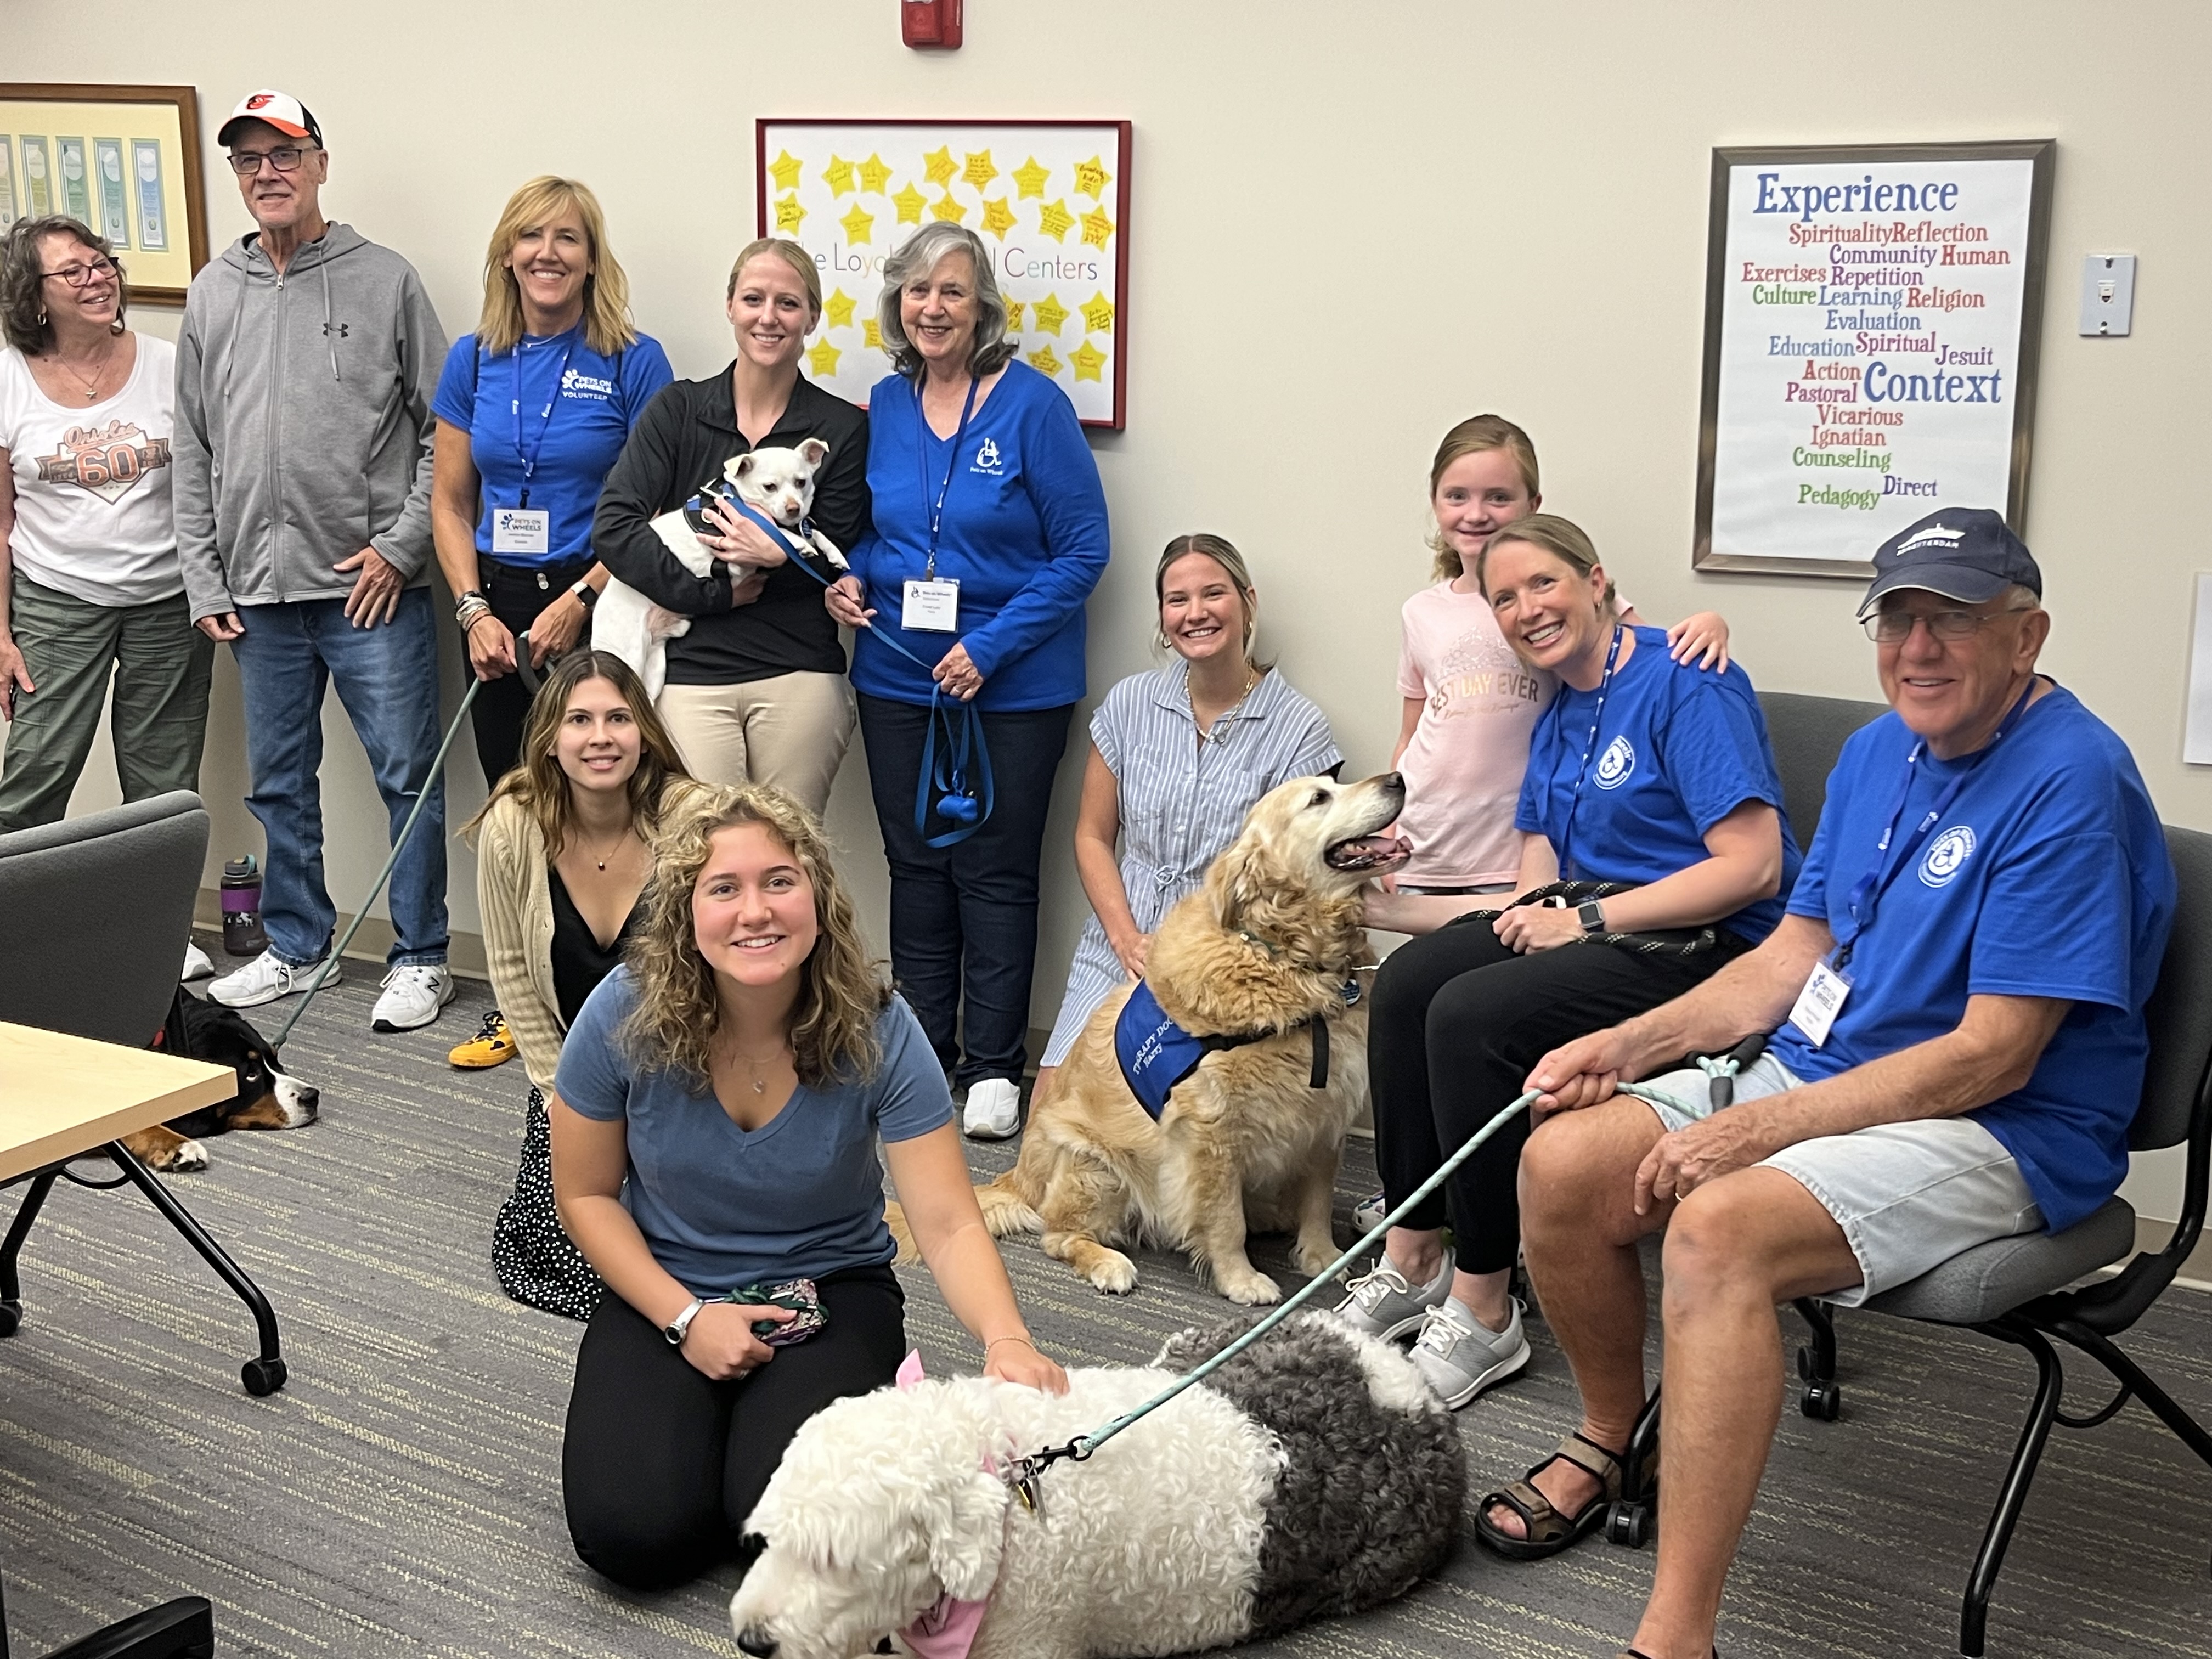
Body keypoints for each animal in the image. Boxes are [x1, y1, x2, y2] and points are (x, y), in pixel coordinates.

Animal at [592, 436, 849, 703]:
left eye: (801, 482)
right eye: (770, 487)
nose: (793, 508)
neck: (740, 501)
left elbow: (815, 533)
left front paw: (834, 553)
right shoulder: (737, 554)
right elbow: (775, 532)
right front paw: (797, 542)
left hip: (655, 672)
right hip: (629, 655)